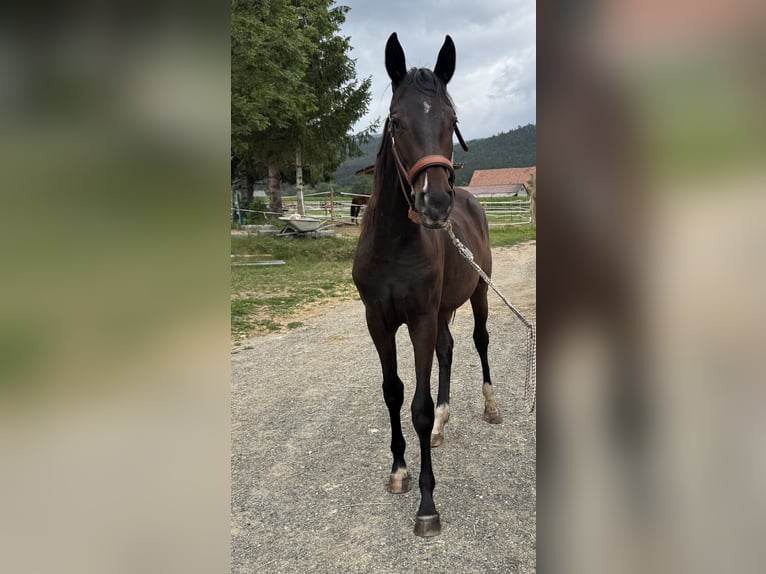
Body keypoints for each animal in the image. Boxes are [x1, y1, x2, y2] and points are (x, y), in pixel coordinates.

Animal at [352, 33, 502, 538]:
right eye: (397, 120)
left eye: (452, 121)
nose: (435, 203)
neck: (395, 244)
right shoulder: (379, 322)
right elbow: (393, 393)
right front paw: (398, 471)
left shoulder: (418, 318)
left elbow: (415, 404)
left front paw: (427, 504)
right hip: (442, 310)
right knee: (448, 349)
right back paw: (441, 423)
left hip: (477, 294)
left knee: (478, 341)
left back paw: (490, 407)